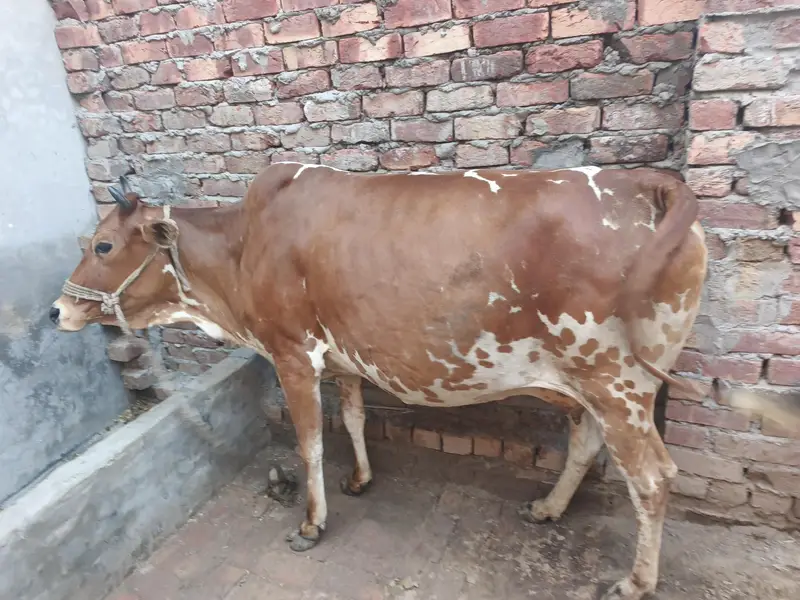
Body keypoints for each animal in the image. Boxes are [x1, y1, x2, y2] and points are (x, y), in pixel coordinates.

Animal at [51, 163, 708, 600]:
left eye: (103, 245)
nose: (58, 311)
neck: (240, 253)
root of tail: (650, 182)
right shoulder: (344, 359)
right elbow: (354, 418)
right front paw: (361, 479)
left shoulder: (291, 355)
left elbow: (310, 442)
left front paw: (311, 524)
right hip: (591, 385)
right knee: (588, 442)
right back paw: (548, 508)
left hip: (615, 383)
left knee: (652, 478)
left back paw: (635, 581)